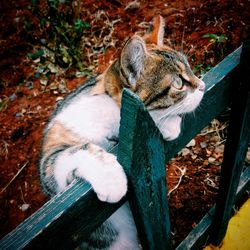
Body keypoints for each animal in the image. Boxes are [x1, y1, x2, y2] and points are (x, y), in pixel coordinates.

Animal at [39, 16, 205, 250]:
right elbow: (68, 155)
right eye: (178, 83)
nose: (203, 85)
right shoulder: (52, 160)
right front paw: (111, 179)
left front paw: (168, 125)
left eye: (190, 69)